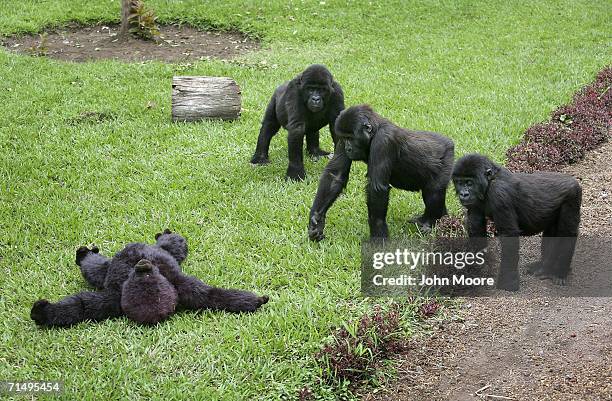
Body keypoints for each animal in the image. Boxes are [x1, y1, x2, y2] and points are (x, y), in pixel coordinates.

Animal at [452, 154, 580, 290]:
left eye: (469, 183)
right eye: (459, 182)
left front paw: (508, 282)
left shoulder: (499, 194)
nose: (463, 194)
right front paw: (478, 266)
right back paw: (545, 267)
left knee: (568, 232)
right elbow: (475, 225)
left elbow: (509, 236)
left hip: (573, 195)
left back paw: (559, 272)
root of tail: (573, 180)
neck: (490, 181)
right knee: (552, 231)